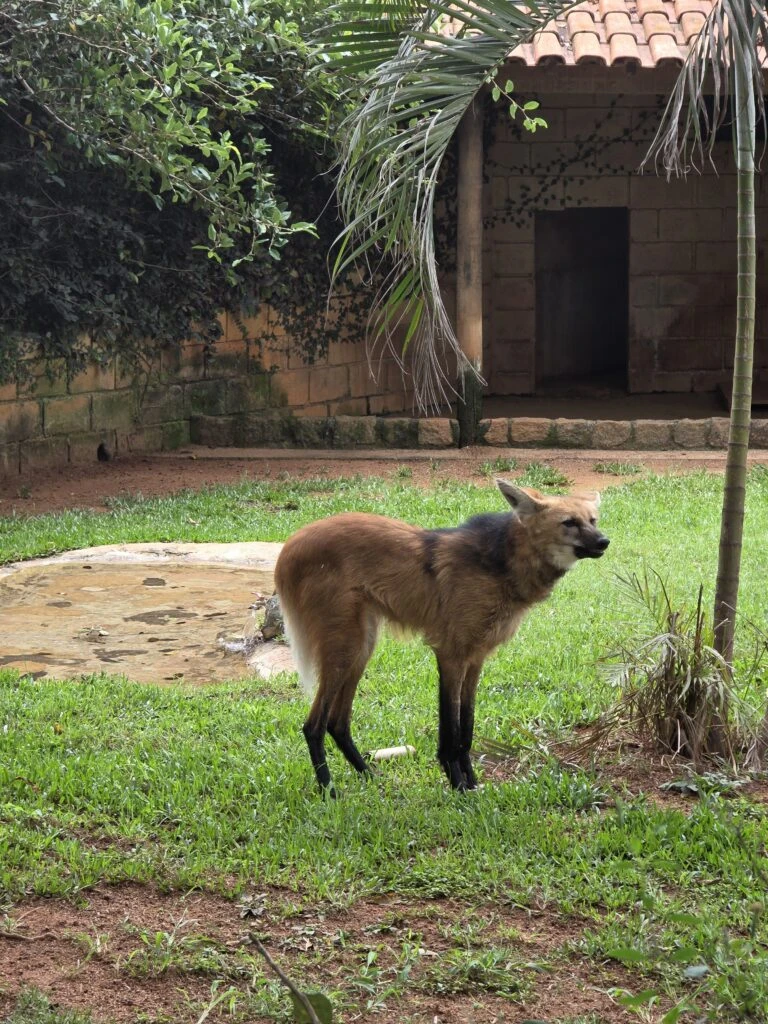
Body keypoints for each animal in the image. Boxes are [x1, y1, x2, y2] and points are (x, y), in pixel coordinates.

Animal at [274, 479, 609, 795]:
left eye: (593, 520)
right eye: (569, 522)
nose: (604, 541)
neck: (499, 566)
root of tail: (289, 545)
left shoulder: (476, 657)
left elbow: (467, 729)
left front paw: (472, 784)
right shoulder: (451, 654)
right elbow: (451, 731)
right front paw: (458, 787)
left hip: (361, 646)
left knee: (338, 722)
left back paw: (370, 776)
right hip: (346, 645)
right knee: (313, 725)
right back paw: (329, 791)